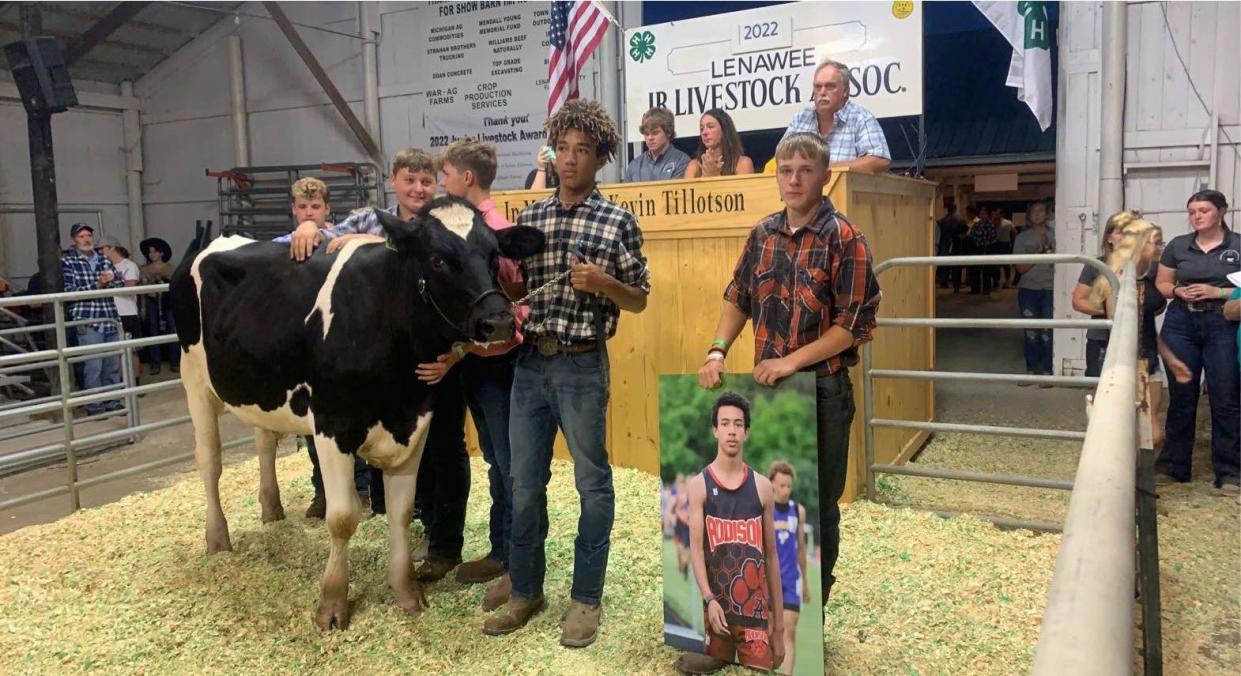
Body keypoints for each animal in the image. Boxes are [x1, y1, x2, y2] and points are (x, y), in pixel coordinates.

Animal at [170, 194, 543, 627]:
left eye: (494, 255)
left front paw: (406, 592)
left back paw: (271, 510)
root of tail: (218, 239)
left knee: (264, 443)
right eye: (438, 259)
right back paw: (217, 538)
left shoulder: (415, 422)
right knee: (209, 460)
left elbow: (401, 512)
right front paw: (332, 604)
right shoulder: (333, 426)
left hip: (257, 383)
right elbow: (343, 516)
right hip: (194, 379)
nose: (498, 322)